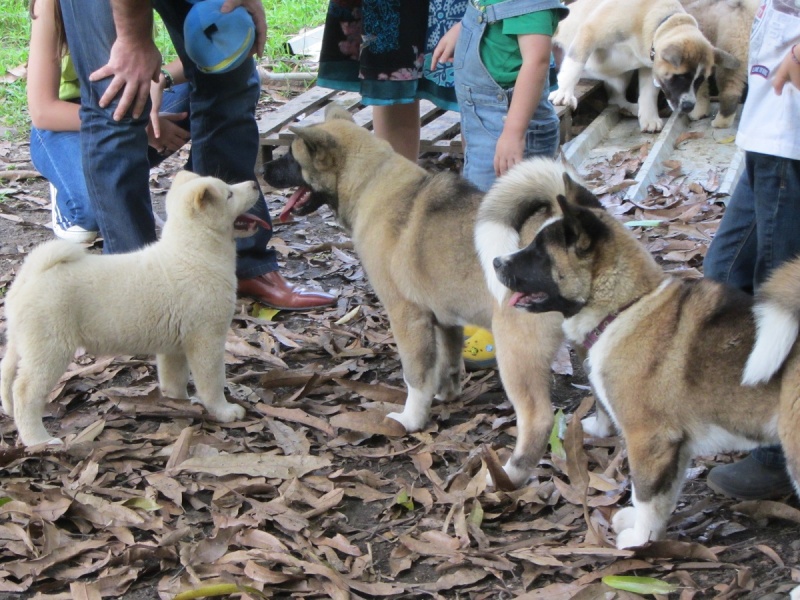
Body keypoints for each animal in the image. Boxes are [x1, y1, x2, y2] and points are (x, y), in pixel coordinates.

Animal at [1, 169, 268, 446]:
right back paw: (38, 440)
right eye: (229, 194)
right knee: (25, 391)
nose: (253, 184)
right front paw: (224, 412)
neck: (193, 254)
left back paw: (9, 411)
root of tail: (32, 274)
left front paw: (180, 404)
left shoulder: (174, 347)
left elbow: (174, 380)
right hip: (51, 348)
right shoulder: (207, 340)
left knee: (7, 373)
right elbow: (212, 383)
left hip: (22, 341)